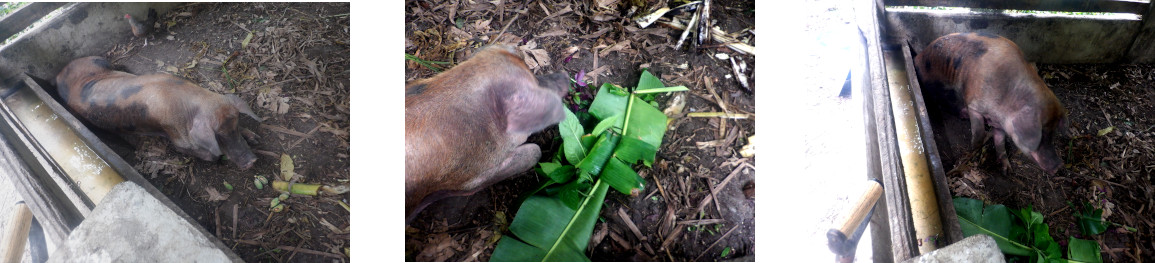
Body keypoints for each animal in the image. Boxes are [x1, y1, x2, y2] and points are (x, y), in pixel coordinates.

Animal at [55, 56, 261, 169]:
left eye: (236, 126)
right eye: (219, 136)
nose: (252, 160)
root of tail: (58, 75)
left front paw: (254, 137)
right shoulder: (178, 140)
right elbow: (207, 154)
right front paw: (217, 157)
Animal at [914, 32, 1067, 175]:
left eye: (1053, 133)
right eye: (1042, 134)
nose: (1059, 166)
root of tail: (918, 56)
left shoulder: (999, 123)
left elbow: (1000, 142)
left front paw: (1007, 171)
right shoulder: (974, 106)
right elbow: (979, 132)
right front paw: (974, 148)